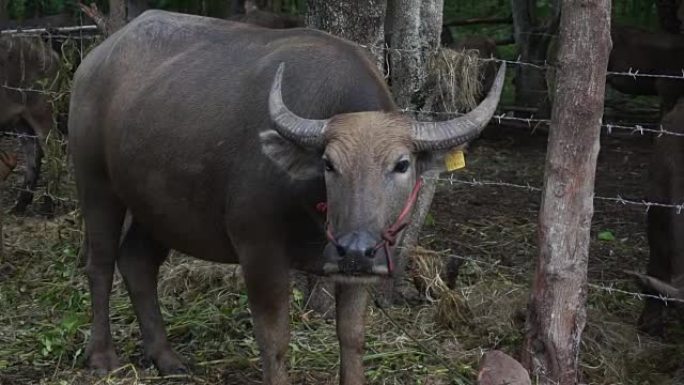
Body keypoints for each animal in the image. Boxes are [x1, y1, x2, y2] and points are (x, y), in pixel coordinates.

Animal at [0, 34, 59, 212]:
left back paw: (48, 204)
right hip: (21, 119)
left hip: (41, 111)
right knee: (34, 153)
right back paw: (21, 204)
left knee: (54, 151)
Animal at [69, 10, 504, 382]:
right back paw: (102, 356)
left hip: (159, 206)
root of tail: (94, 62)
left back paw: (166, 357)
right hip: (96, 182)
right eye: (329, 163)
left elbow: (352, 337)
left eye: (401, 164)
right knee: (100, 263)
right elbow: (275, 341)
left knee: (138, 262)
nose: (356, 248)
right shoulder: (259, 252)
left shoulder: (359, 269)